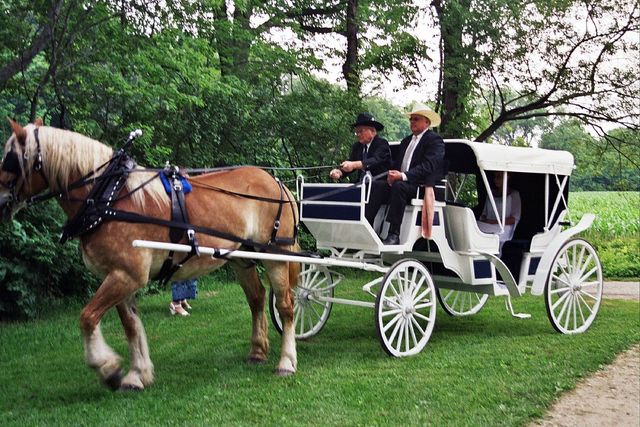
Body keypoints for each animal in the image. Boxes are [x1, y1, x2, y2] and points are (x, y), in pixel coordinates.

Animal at [0, 119, 300, 391]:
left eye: (10, 159)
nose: (1, 202)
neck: (108, 198)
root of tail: (275, 181)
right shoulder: (119, 277)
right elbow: (131, 326)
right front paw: (136, 375)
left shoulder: (126, 275)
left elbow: (87, 317)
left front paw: (108, 368)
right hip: (240, 258)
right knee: (256, 298)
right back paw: (258, 351)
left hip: (277, 255)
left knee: (285, 304)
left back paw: (286, 361)